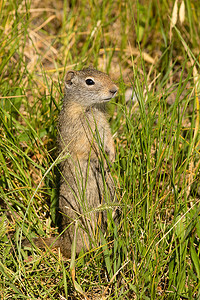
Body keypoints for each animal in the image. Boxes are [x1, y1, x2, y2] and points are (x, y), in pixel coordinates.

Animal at [23, 67, 117, 256]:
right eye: (89, 81)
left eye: (106, 74)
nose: (114, 89)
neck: (90, 108)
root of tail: (63, 241)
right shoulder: (77, 132)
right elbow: (86, 148)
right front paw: (101, 157)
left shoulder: (104, 126)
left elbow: (110, 141)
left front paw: (112, 157)